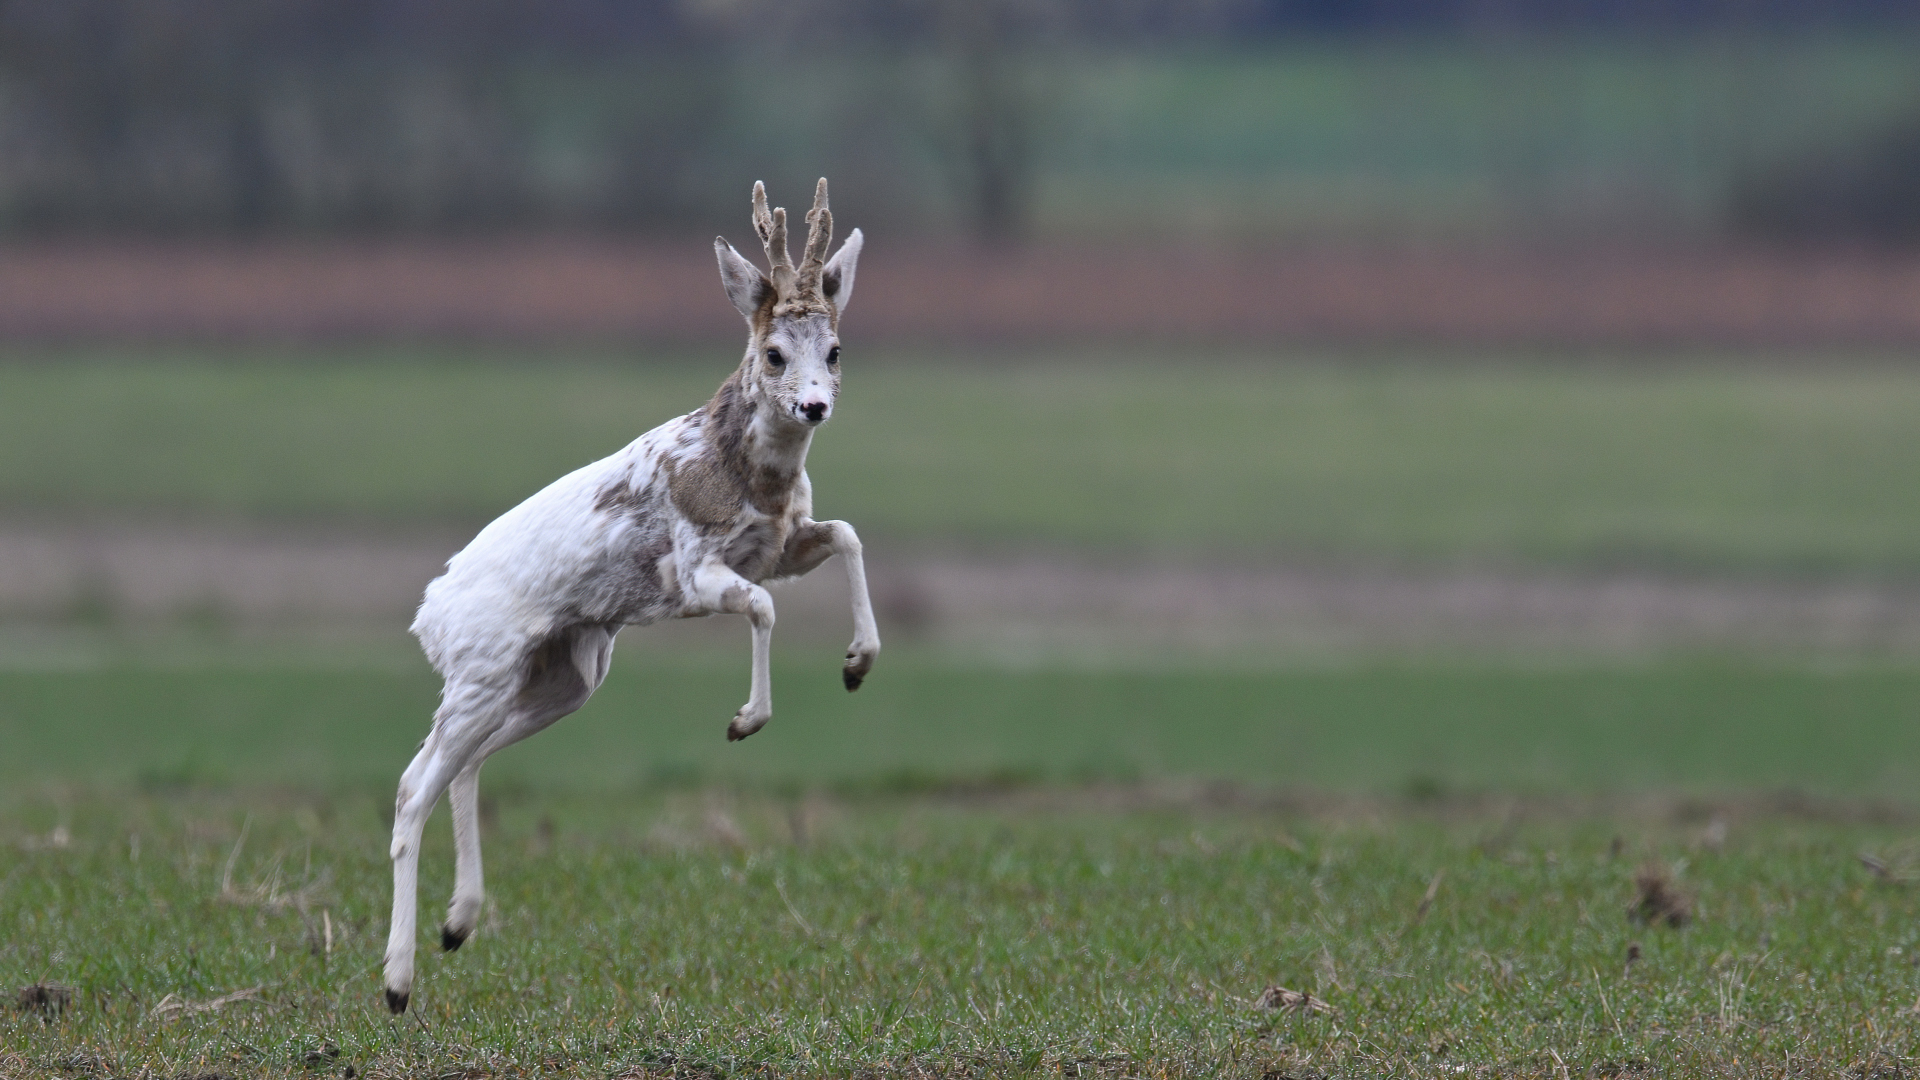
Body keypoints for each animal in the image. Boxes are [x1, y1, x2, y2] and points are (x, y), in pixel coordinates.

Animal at [382, 176, 879, 1006]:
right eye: (773, 352)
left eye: (835, 349)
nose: (815, 404)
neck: (747, 472)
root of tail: (428, 615)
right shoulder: (697, 569)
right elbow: (765, 606)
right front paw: (746, 721)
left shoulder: (777, 548)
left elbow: (845, 534)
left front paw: (857, 662)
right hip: (483, 674)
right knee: (413, 786)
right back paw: (397, 980)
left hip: (564, 678)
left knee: (464, 768)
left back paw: (459, 924)